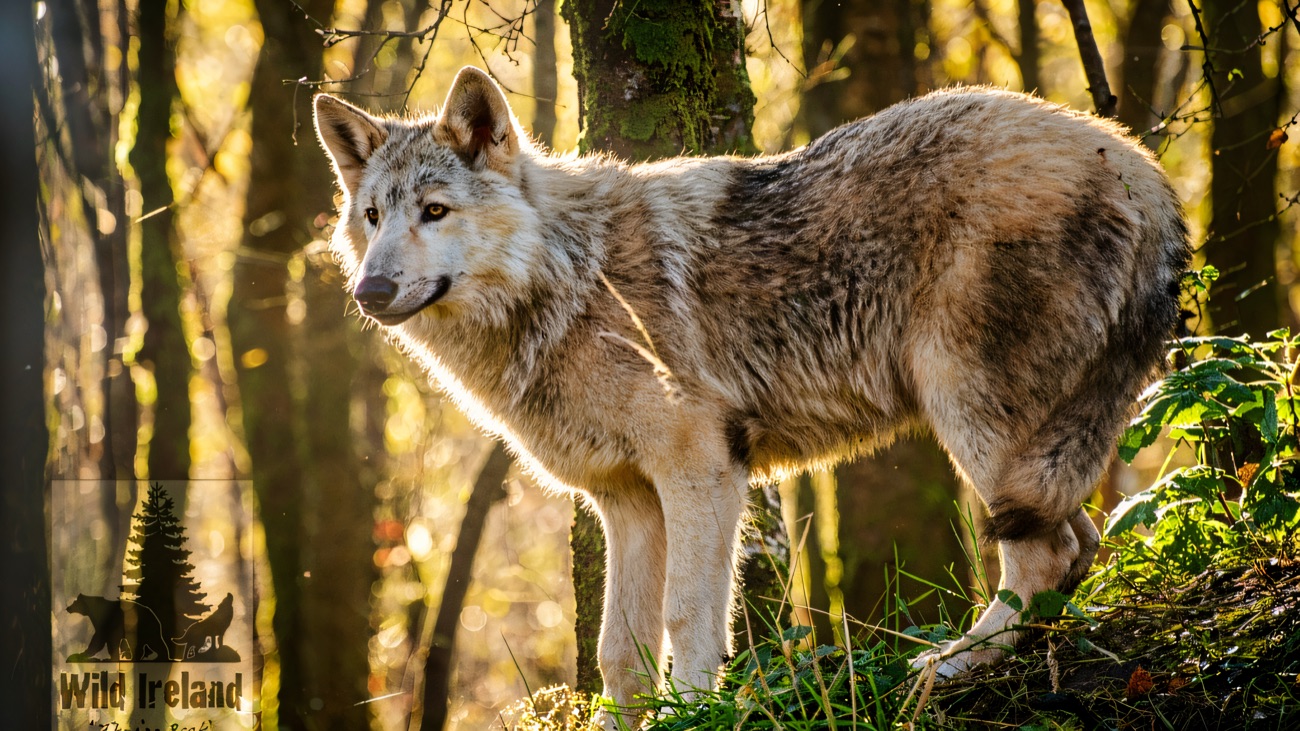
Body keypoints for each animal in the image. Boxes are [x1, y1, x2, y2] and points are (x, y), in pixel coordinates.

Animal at [314, 67, 1188, 716]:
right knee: (1079, 545)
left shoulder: (701, 469)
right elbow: (619, 652)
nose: (371, 289)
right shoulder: (626, 499)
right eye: (373, 216)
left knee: (1045, 554)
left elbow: (687, 618)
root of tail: (1143, 167)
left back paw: (950, 666)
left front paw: (699, 709)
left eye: (435, 211)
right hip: (1018, 444)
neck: (568, 278)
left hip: (968, 416)